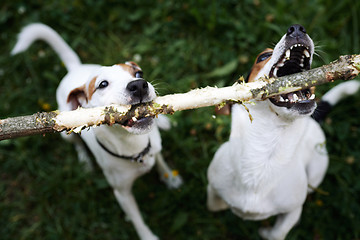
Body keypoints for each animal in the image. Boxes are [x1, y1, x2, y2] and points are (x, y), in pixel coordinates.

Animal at [11, 23, 183, 240]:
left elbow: (162, 163)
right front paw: (147, 236)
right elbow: (137, 220)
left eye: (139, 74)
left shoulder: (155, 150)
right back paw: (84, 161)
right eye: (102, 84)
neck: (134, 147)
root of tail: (75, 69)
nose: (139, 85)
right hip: (65, 132)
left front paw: (171, 178)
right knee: (76, 144)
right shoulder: (122, 194)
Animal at [205, 23, 360, 239]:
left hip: (316, 171)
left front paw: (265, 231)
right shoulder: (212, 187)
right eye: (262, 56)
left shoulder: (292, 210)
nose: (297, 28)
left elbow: (277, 233)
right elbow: (214, 206)